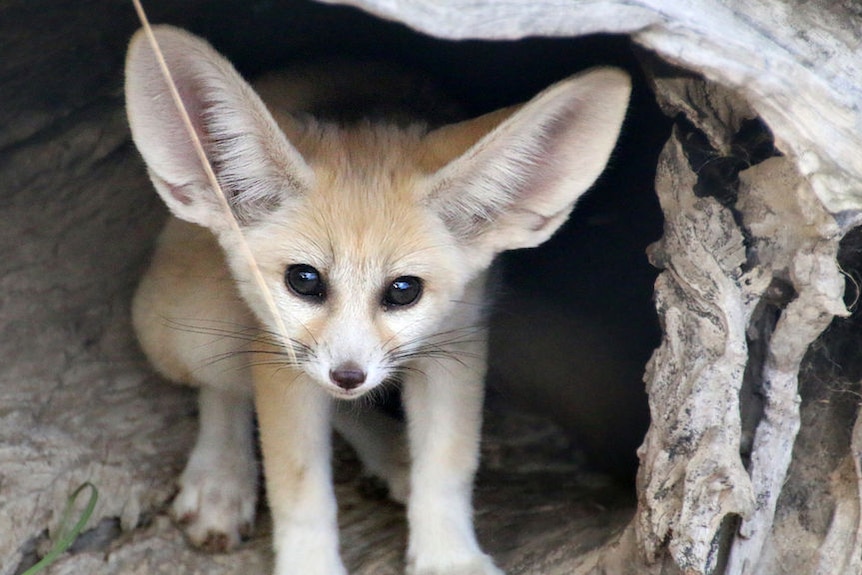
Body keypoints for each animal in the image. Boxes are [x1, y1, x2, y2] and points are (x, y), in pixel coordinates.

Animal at [125, 23, 632, 575]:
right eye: (304, 280)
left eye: (404, 290)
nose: (348, 375)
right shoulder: (279, 354)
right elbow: (300, 490)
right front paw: (310, 565)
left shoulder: (457, 341)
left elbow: (447, 466)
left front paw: (448, 557)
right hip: (189, 327)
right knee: (223, 388)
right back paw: (222, 476)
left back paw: (392, 455)